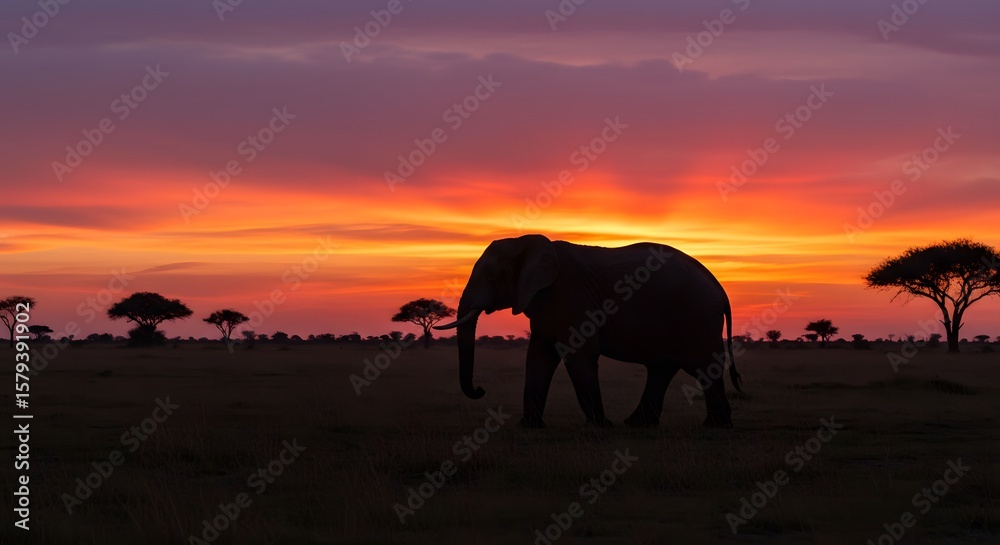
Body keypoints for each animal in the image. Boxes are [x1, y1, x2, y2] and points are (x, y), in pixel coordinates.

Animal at [435, 234, 742, 428]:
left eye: (490, 275)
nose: (479, 390)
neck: (527, 243)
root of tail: (720, 288)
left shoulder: (572, 296)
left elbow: (578, 356)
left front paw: (600, 427)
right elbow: (538, 358)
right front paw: (528, 427)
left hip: (697, 317)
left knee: (702, 367)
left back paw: (715, 427)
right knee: (662, 368)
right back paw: (638, 425)